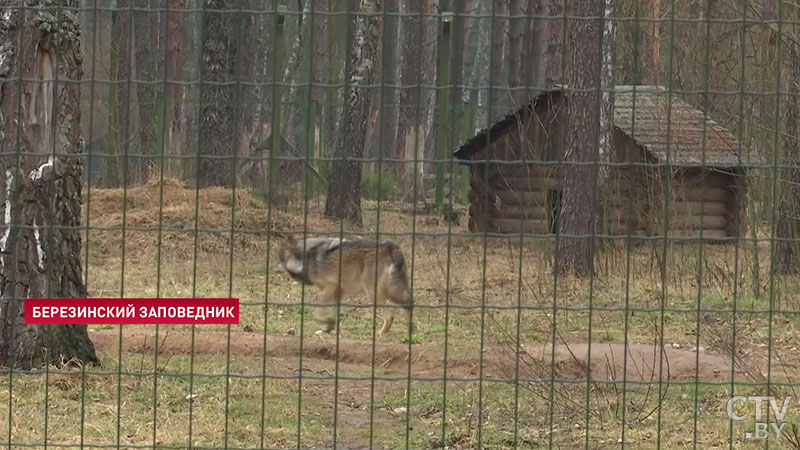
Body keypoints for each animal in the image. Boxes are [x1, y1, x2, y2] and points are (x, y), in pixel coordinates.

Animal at [278, 236, 416, 338]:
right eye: (292, 274)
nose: (307, 282)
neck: (306, 256)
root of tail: (392, 247)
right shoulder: (338, 291)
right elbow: (335, 313)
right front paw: (328, 327)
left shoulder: (329, 288)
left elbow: (315, 314)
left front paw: (329, 323)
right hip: (391, 292)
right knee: (410, 304)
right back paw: (410, 331)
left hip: (374, 294)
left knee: (390, 316)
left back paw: (381, 333)